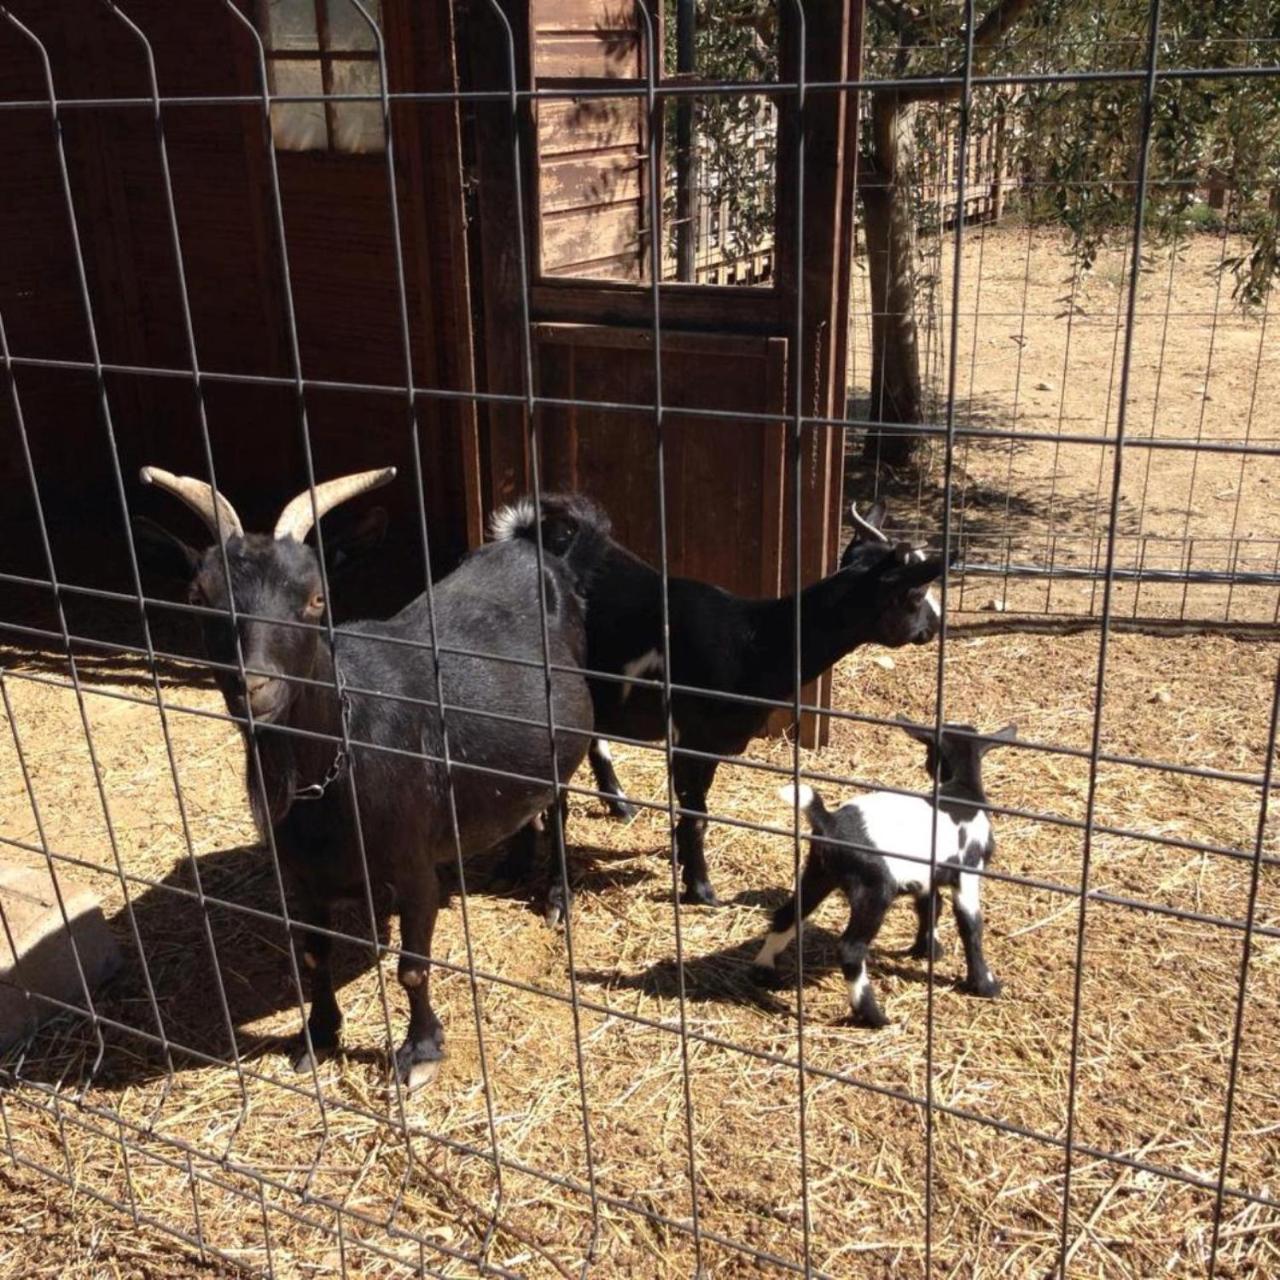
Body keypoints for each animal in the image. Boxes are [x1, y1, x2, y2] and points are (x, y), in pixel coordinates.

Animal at [138, 465, 604, 1085]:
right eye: (199, 596)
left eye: (316, 598)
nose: (252, 685)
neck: (327, 776)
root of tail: (534, 550)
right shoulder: (300, 873)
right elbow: (314, 954)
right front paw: (317, 1036)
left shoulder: (414, 866)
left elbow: (412, 967)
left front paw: (420, 1051)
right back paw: (511, 864)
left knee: (559, 806)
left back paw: (555, 896)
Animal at [494, 488, 947, 901]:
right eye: (915, 594)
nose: (935, 626)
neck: (754, 640)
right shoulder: (692, 739)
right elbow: (697, 814)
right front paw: (701, 888)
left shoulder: (710, 744)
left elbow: (696, 811)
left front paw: (681, 859)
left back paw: (617, 805)